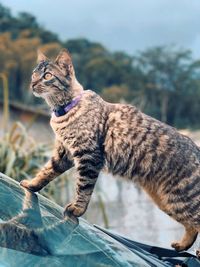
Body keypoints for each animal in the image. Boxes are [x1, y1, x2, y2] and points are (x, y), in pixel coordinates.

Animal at [20, 49, 200, 254]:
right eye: (34, 74)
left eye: (47, 76)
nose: (32, 84)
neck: (65, 110)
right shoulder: (64, 154)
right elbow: (46, 172)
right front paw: (31, 185)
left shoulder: (88, 157)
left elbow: (83, 187)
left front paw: (77, 209)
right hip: (167, 201)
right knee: (192, 227)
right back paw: (182, 245)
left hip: (180, 198)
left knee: (196, 221)